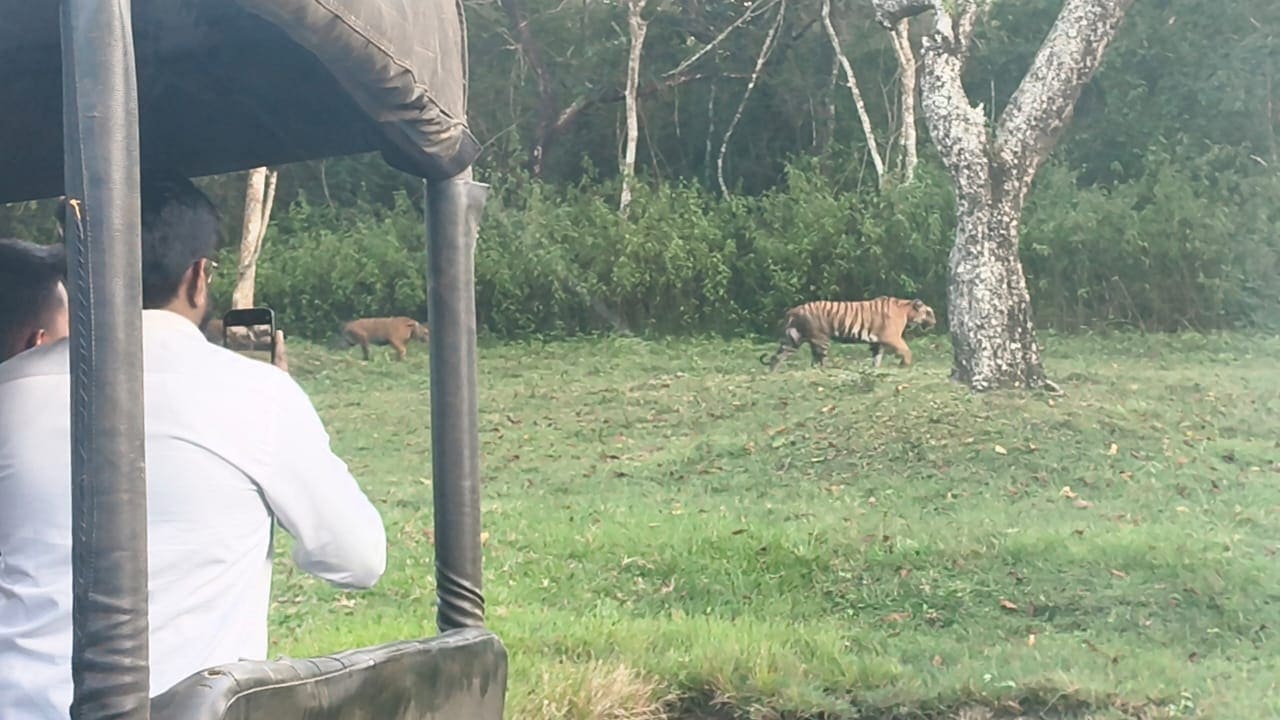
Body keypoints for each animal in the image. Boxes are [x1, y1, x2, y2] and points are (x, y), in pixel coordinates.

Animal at [760, 296, 937, 371]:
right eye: (929, 312)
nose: (935, 322)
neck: (906, 310)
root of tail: (794, 310)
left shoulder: (877, 341)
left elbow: (877, 356)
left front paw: (875, 369)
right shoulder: (892, 337)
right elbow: (906, 350)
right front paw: (904, 364)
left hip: (793, 338)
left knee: (778, 356)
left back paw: (772, 373)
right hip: (820, 338)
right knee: (820, 358)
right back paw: (828, 370)